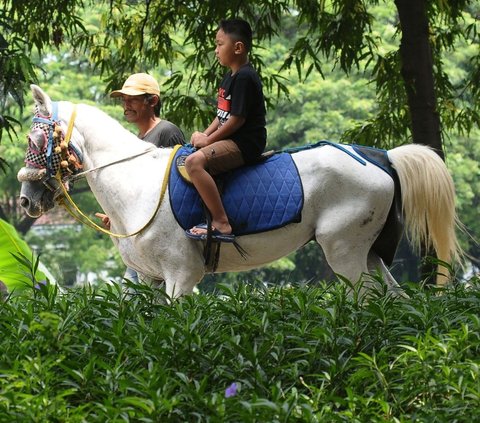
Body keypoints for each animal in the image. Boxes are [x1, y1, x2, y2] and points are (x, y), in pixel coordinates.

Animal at [17, 85, 462, 298]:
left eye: (36, 139)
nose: (24, 200)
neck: (137, 186)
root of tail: (379, 156)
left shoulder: (182, 275)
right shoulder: (148, 278)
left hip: (344, 252)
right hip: (369, 254)